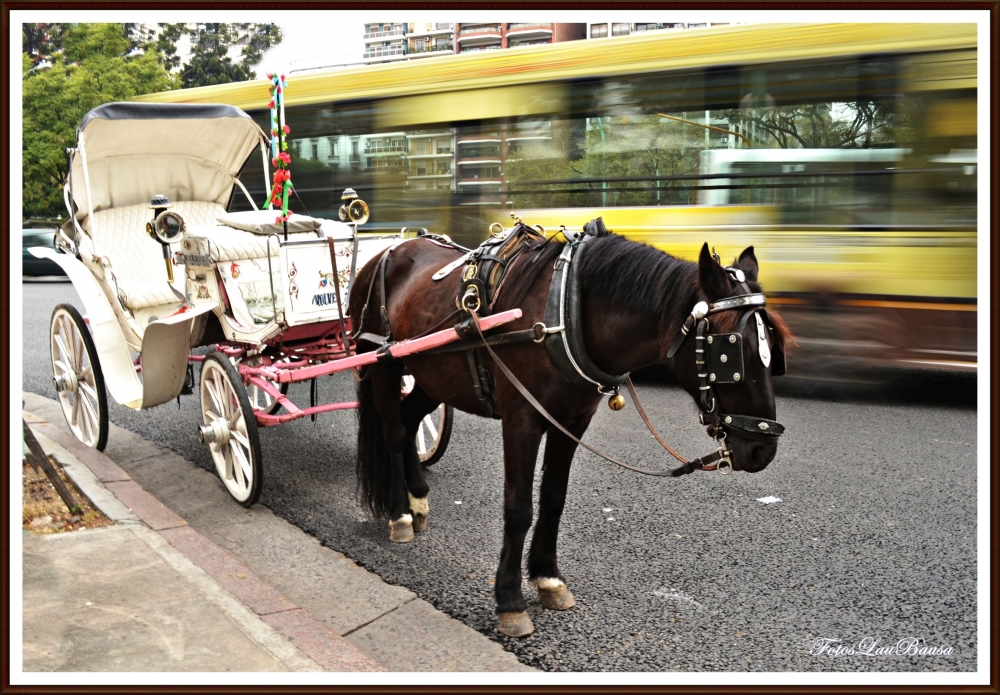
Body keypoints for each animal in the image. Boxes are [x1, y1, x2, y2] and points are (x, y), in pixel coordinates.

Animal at [348, 227, 792, 636]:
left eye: (774, 348)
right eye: (731, 351)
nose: (763, 449)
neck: (565, 311)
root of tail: (390, 249)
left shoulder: (572, 420)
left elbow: (554, 498)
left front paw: (548, 578)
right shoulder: (522, 419)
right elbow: (518, 508)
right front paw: (509, 600)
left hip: (432, 376)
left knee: (409, 422)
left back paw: (417, 499)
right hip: (382, 363)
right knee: (393, 431)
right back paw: (400, 514)